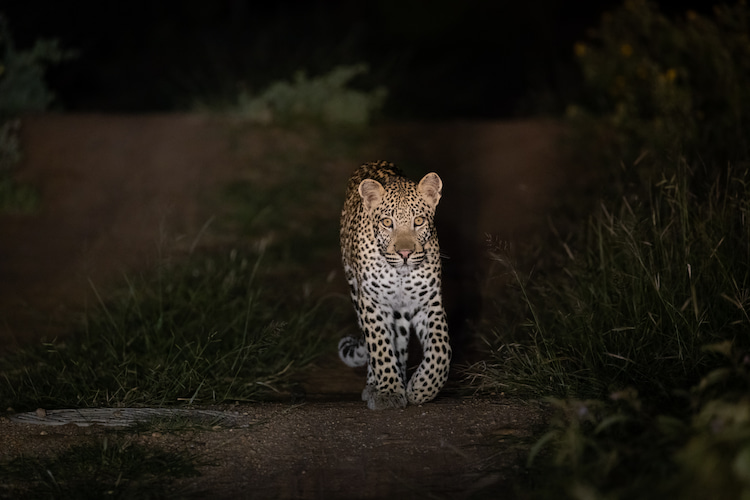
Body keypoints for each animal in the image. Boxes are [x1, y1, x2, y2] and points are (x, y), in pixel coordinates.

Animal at [338, 160, 452, 410]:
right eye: (387, 222)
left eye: (418, 221)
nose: (405, 253)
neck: (399, 274)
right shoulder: (372, 302)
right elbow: (379, 347)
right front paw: (388, 392)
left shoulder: (428, 302)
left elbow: (441, 349)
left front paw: (421, 388)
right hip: (355, 291)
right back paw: (374, 384)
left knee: (399, 342)